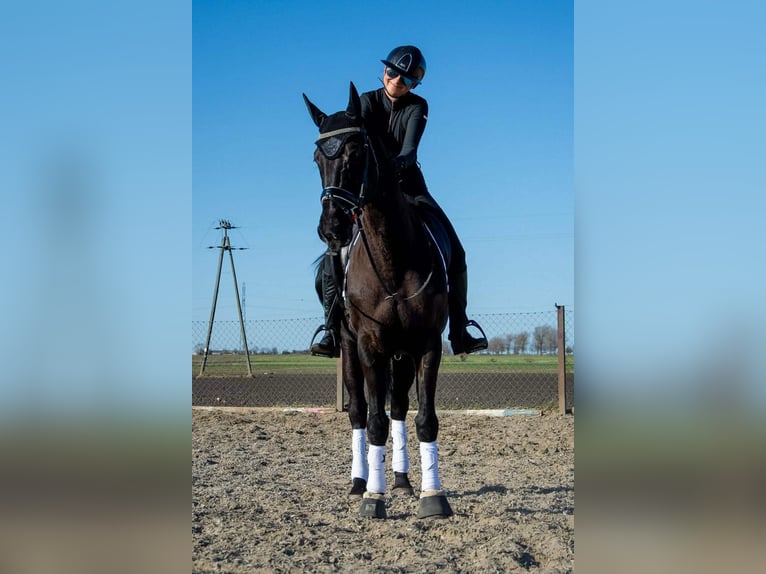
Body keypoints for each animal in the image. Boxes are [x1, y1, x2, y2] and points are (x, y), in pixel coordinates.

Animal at [303, 82, 453, 519]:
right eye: (316, 158)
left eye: (355, 153)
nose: (331, 226)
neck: (391, 257)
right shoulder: (369, 346)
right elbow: (373, 422)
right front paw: (373, 497)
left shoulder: (426, 344)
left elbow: (424, 419)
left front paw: (433, 496)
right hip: (350, 347)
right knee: (358, 412)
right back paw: (360, 482)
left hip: (401, 354)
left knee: (399, 407)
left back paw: (401, 480)